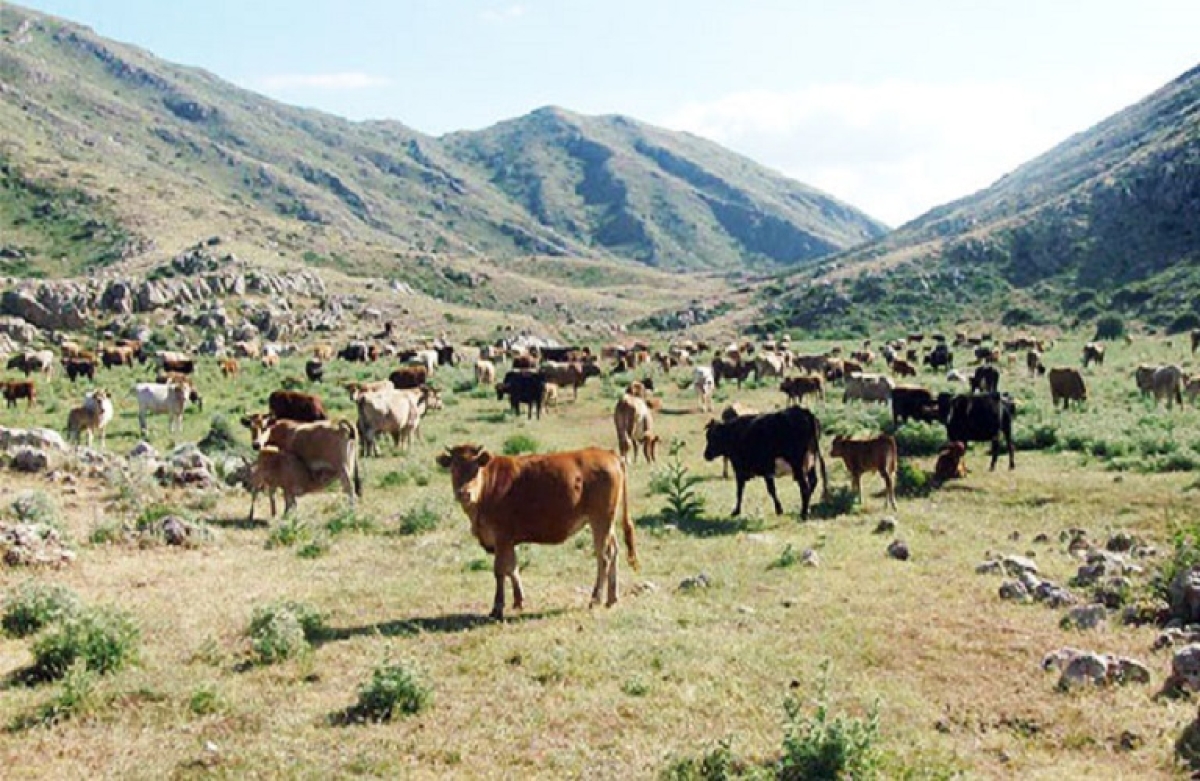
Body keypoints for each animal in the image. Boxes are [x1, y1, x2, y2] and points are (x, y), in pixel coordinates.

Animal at [434, 446, 638, 623]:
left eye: (475, 469)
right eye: (453, 468)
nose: (464, 493)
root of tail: (609, 453)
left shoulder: (501, 537)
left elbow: (500, 571)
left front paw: (497, 608)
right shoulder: (508, 541)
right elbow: (513, 568)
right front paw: (519, 601)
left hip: (600, 520)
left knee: (603, 557)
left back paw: (595, 598)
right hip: (607, 524)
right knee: (613, 552)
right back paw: (611, 598)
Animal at [700, 405, 830, 523]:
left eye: (713, 437)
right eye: (707, 436)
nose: (706, 454)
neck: (735, 434)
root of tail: (804, 412)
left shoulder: (745, 469)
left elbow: (743, 491)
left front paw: (736, 511)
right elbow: (768, 489)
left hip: (797, 464)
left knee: (804, 487)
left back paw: (803, 514)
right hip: (811, 461)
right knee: (813, 482)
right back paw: (806, 509)